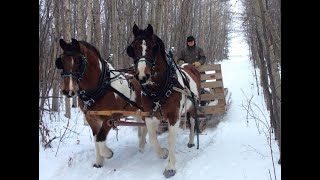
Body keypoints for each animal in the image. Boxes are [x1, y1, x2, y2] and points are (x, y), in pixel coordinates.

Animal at [56, 38, 148, 168]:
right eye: (62, 61)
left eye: (78, 62)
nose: (67, 90)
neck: (100, 88)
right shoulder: (91, 118)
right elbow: (96, 139)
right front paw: (99, 162)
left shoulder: (109, 119)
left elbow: (100, 138)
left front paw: (108, 153)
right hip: (135, 111)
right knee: (141, 126)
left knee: (145, 127)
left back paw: (141, 148)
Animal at [126, 23, 201, 177]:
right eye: (133, 47)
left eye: (153, 47)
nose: (142, 76)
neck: (159, 90)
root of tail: (189, 65)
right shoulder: (150, 116)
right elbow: (152, 138)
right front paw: (163, 153)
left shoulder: (174, 116)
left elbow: (171, 139)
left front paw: (170, 167)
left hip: (193, 105)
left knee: (191, 121)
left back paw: (191, 141)